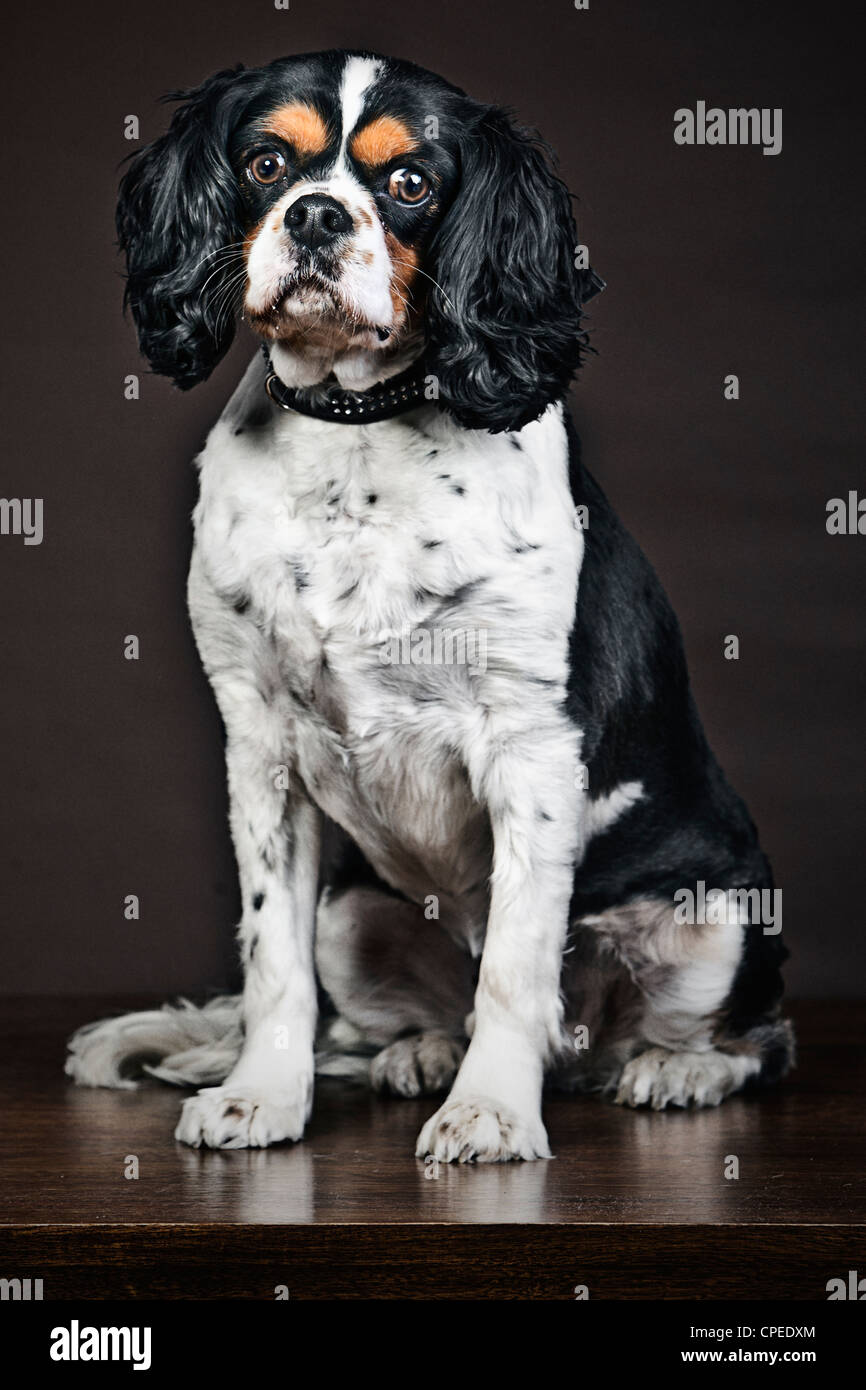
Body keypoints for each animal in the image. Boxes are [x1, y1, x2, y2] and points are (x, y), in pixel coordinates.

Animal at [66, 51, 795, 1162]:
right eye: (265, 163)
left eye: (410, 182)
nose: (318, 214)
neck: (354, 431)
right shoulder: (260, 745)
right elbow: (270, 955)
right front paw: (261, 1094)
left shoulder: (531, 747)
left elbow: (516, 968)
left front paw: (491, 1112)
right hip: (352, 914)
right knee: (390, 1008)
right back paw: (417, 1053)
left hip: (719, 914)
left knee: (755, 1038)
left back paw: (677, 1068)